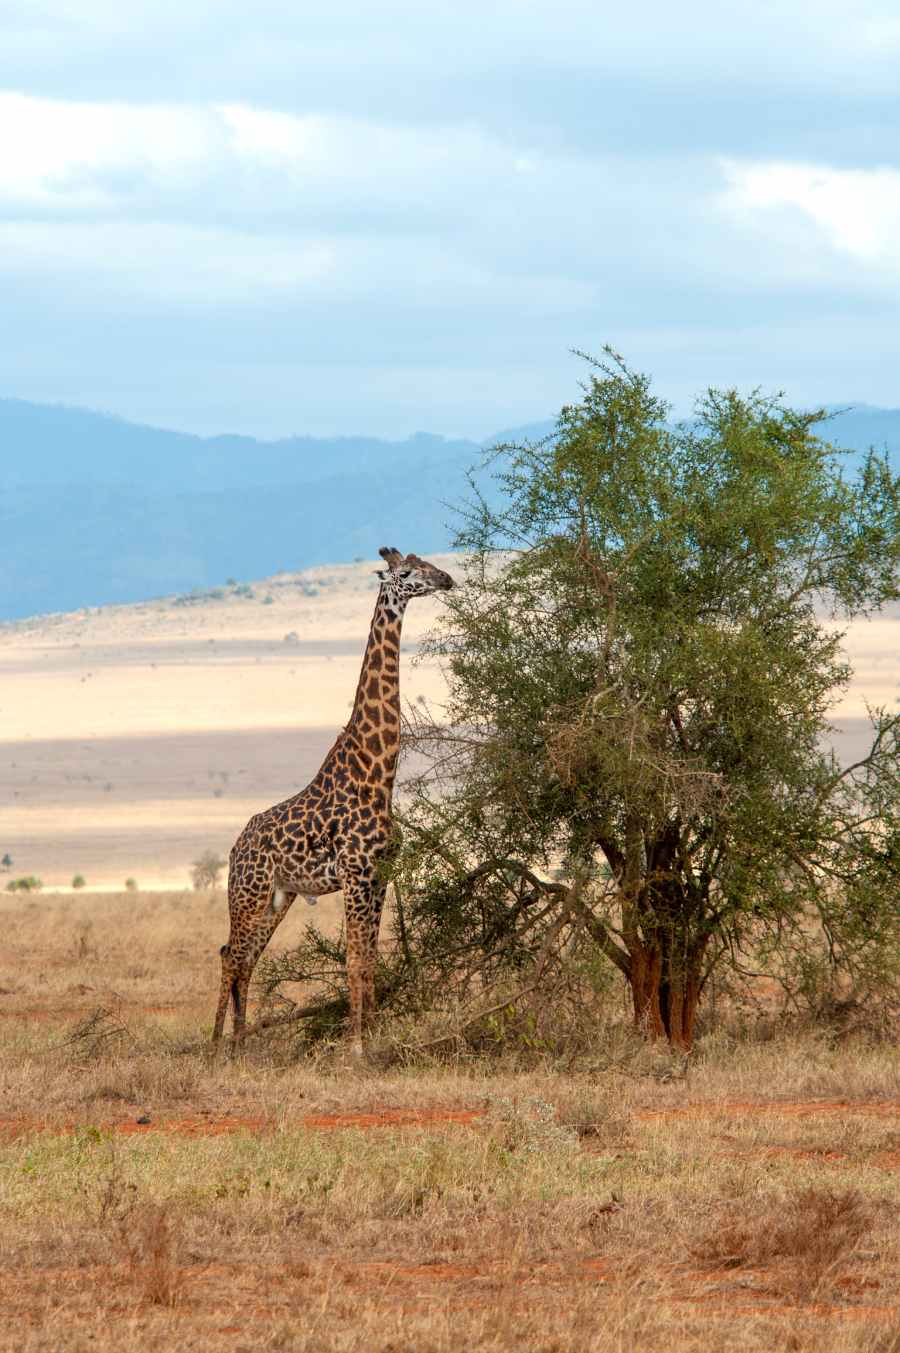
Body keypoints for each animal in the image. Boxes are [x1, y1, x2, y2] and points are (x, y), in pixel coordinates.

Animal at [212, 547, 455, 1054]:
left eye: (430, 563)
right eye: (408, 572)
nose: (446, 579)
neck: (378, 771)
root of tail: (235, 848)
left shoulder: (379, 875)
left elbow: (369, 960)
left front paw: (375, 1038)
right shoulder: (356, 875)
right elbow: (354, 960)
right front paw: (356, 1046)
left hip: (278, 897)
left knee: (245, 958)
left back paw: (241, 1042)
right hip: (248, 893)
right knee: (230, 955)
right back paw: (215, 1043)